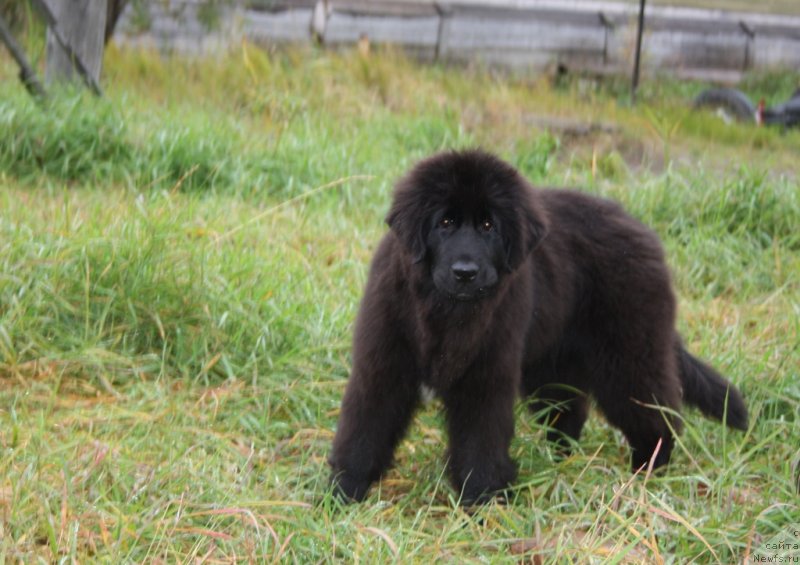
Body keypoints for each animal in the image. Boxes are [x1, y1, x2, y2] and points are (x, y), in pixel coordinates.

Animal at [326, 149, 752, 502]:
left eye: (488, 226)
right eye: (444, 222)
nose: (465, 272)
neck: (446, 312)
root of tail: (644, 234)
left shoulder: (487, 376)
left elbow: (480, 439)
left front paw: (483, 501)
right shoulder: (384, 364)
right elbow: (365, 428)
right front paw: (344, 491)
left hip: (629, 355)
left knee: (657, 415)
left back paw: (647, 473)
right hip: (553, 361)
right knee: (572, 410)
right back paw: (560, 458)